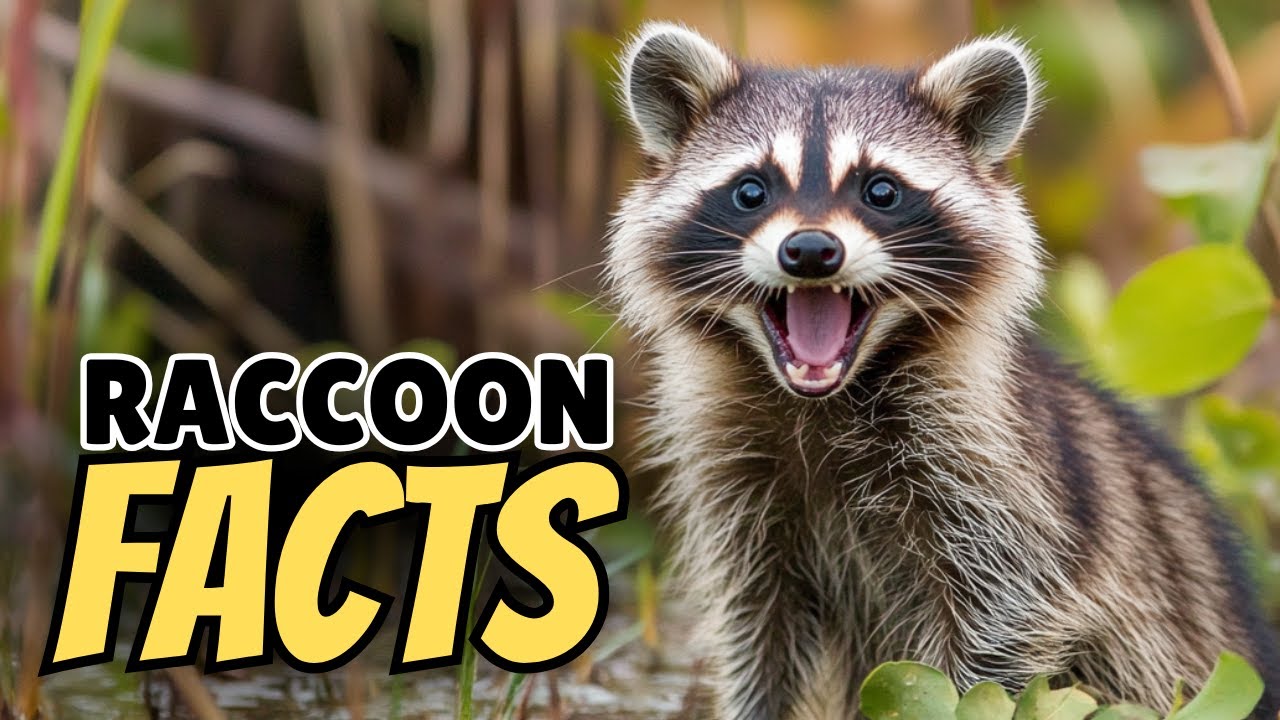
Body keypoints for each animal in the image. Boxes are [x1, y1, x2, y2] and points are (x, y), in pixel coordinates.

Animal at [606, 22, 1280, 720]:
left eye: (880, 189)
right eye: (750, 190)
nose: (811, 250)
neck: (822, 401)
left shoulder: (997, 481)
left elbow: (995, 635)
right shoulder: (736, 490)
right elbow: (757, 626)